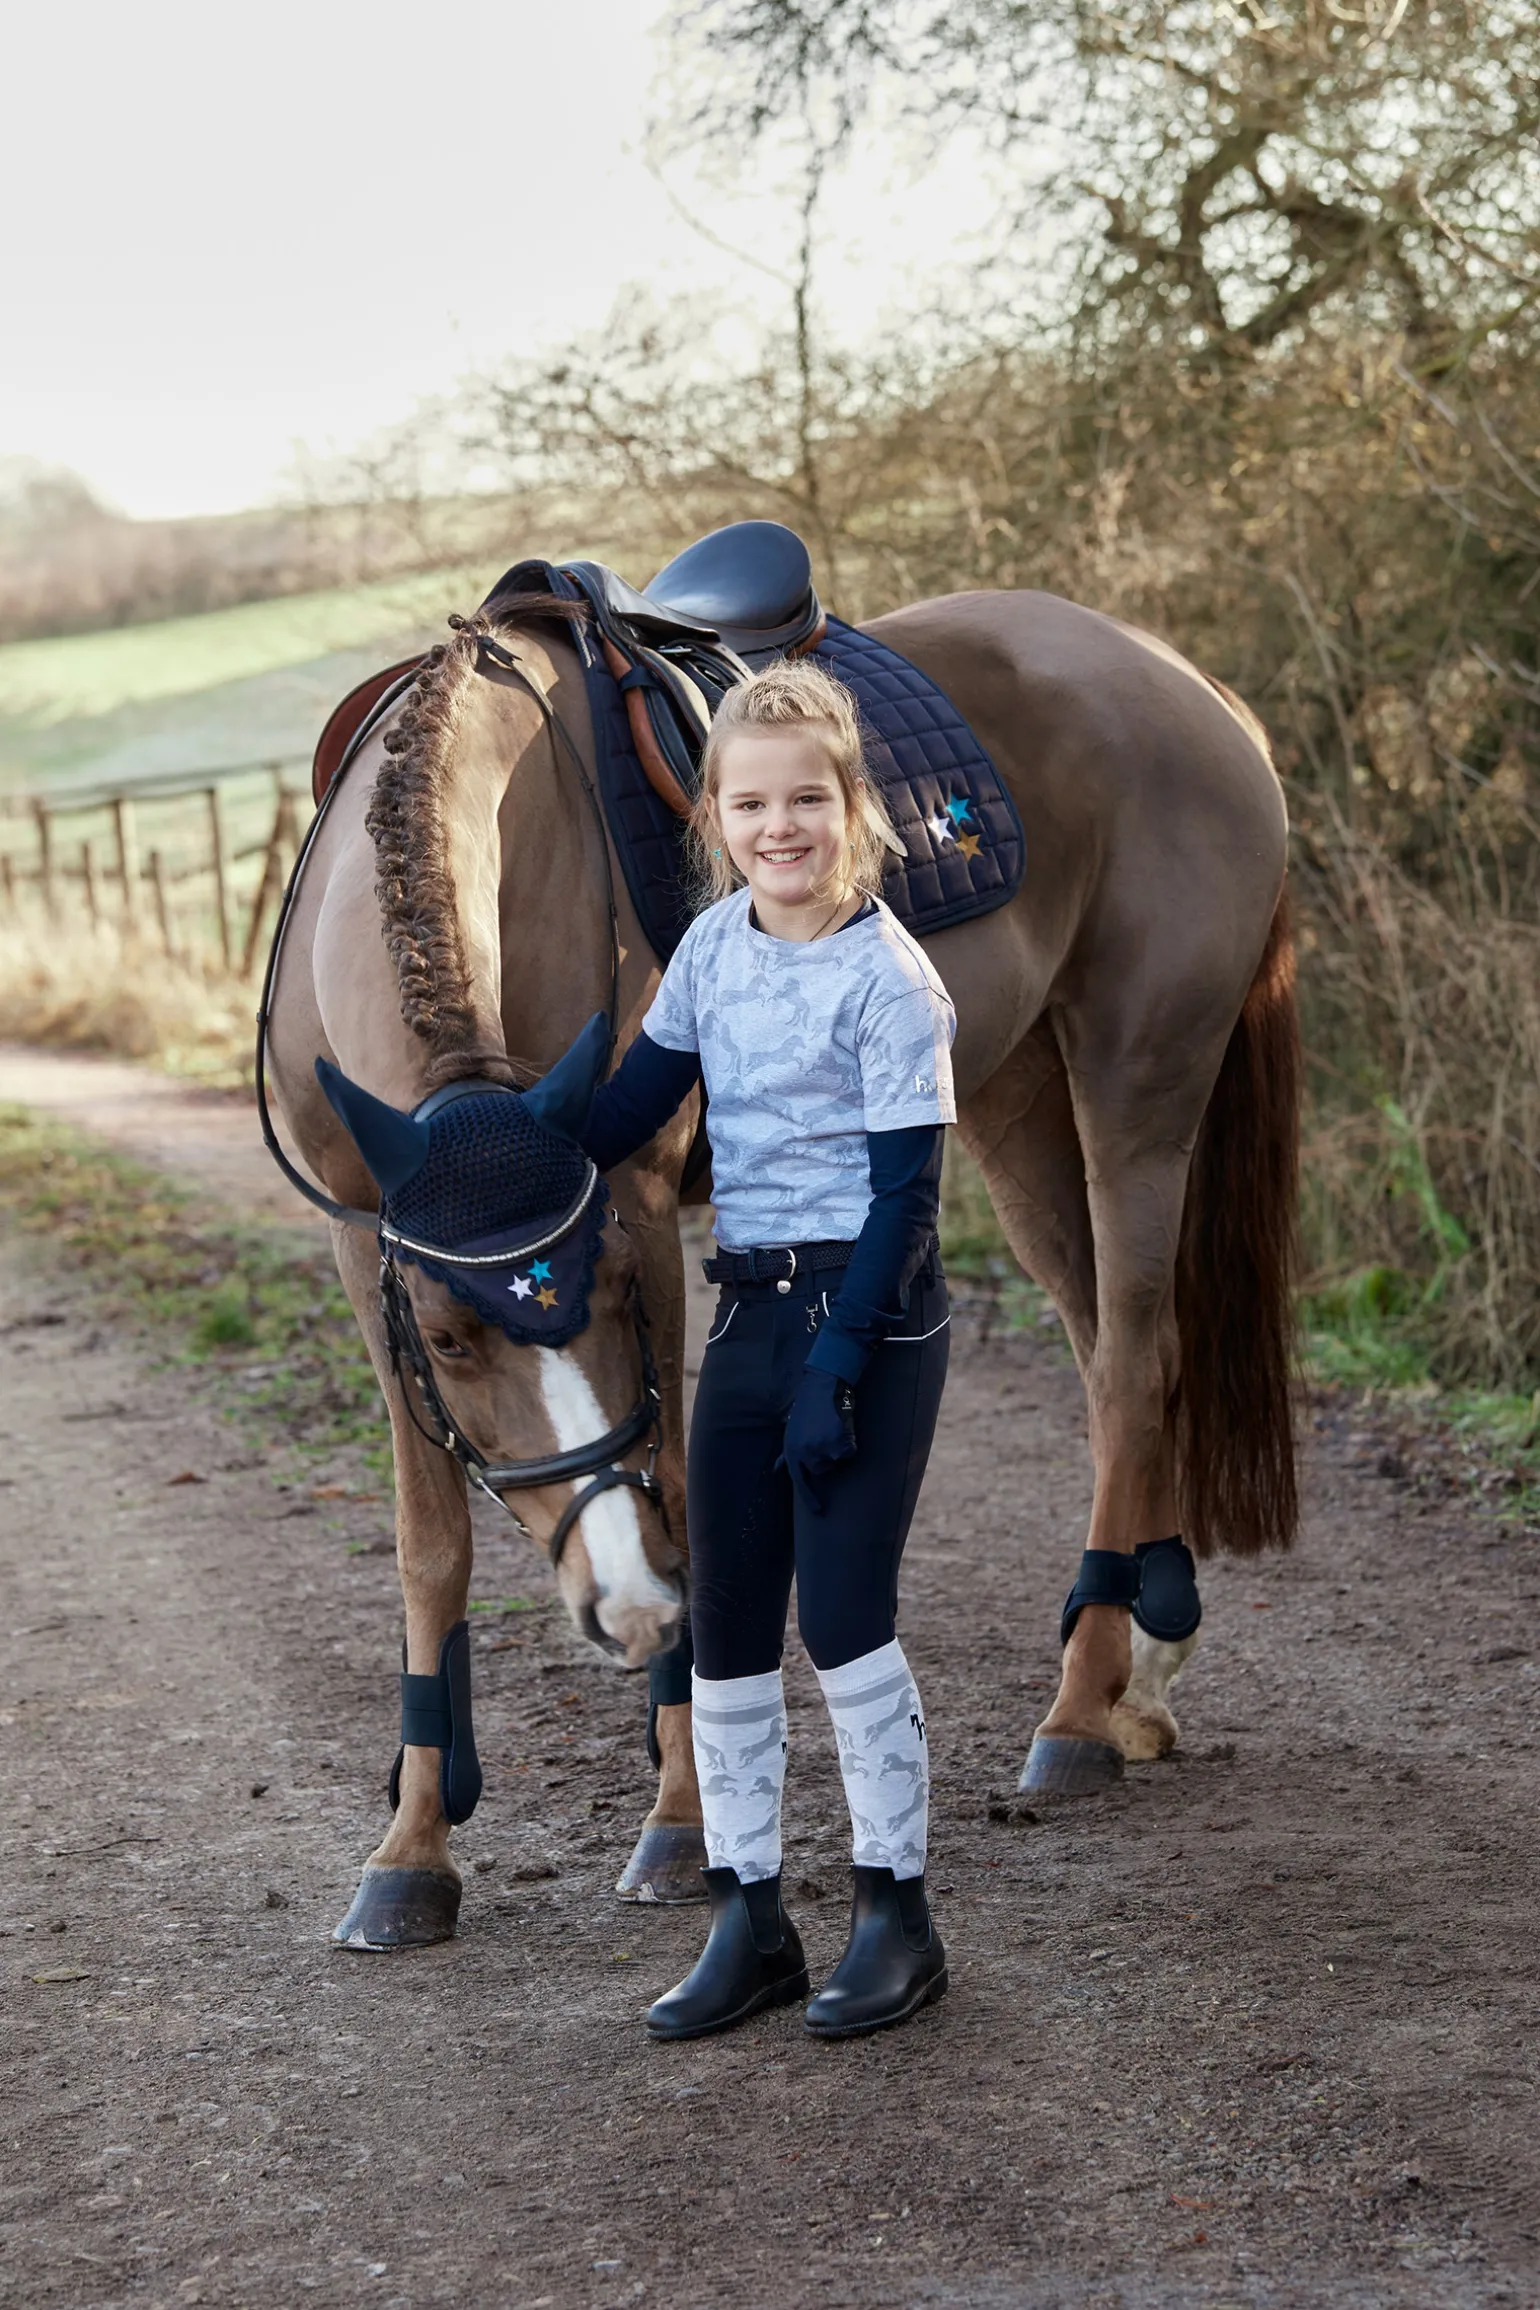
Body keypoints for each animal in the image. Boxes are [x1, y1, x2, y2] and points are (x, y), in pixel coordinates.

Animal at [263, 579, 1298, 1949]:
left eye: (607, 1295)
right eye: (447, 1339)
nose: (623, 1603)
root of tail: (1188, 682)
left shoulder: (642, 1207)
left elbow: (674, 1488)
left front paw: (679, 1822)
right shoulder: (363, 1246)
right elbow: (428, 1548)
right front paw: (412, 1853)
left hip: (1139, 1081)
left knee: (1134, 1357)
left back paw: (1078, 1714)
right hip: (1014, 1102)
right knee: (1111, 1357)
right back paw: (1142, 1672)